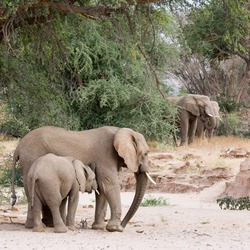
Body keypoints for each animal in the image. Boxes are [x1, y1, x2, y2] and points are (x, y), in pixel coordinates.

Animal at [12, 127, 156, 232]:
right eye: (146, 153)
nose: (123, 226)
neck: (119, 131)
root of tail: (18, 147)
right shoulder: (105, 157)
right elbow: (109, 185)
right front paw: (114, 229)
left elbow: (102, 189)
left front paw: (99, 228)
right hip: (31, 158)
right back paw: (36, 226)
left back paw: (46, 225)